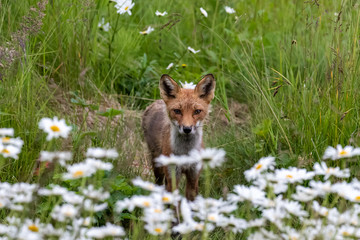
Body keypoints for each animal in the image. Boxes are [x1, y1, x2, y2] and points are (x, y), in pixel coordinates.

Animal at [142, 73, 215, 201]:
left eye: (197, 111)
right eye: (177, 111)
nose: (187, 129)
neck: (185, 152)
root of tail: (156, 102)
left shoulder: (193, 175)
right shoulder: (173, 174)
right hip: (158, 165)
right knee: (159, 184)